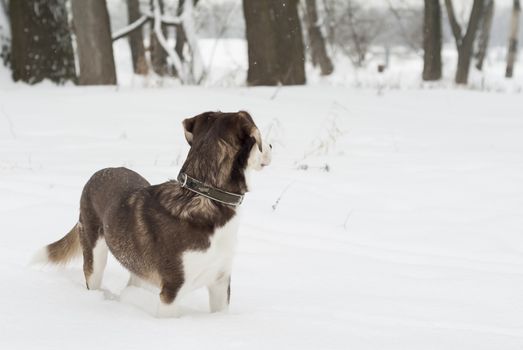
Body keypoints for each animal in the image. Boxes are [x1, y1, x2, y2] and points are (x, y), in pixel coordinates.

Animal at [36, 110, 272, 318]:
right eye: (258, 138)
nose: (270, 145)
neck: (204, 194)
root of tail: (98, 173)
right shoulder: (172, 290)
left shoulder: (220, 283)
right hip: (95, 254)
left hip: (137, 265)